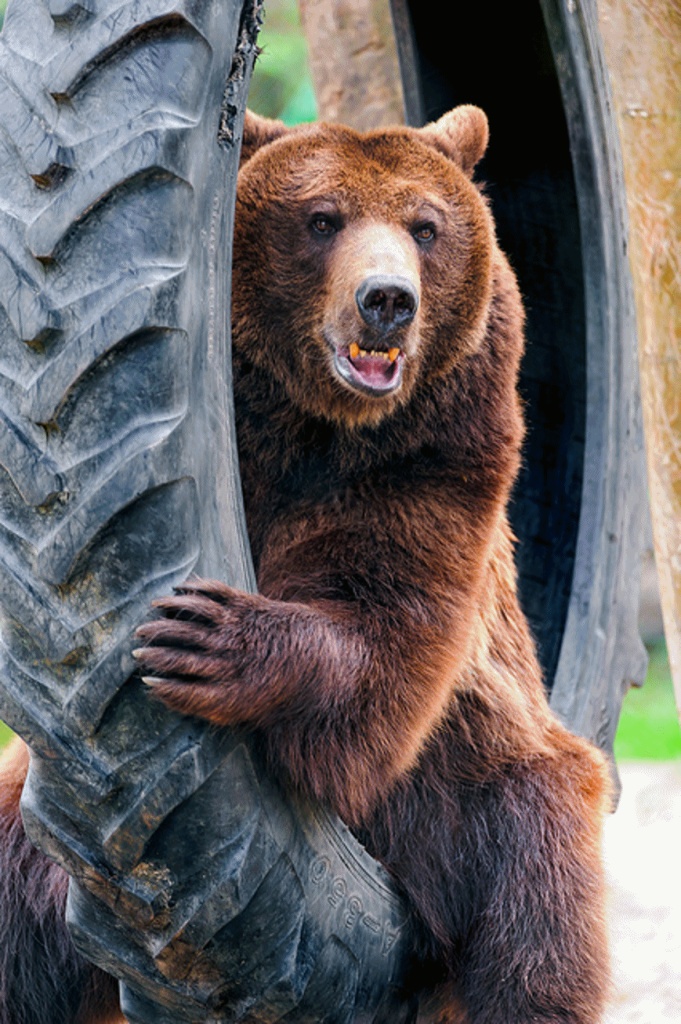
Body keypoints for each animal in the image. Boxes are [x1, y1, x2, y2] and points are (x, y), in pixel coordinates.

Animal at [0, 108, 610, 1019]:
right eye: (322, 219)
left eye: (424, 227)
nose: (386, 300)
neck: (310, 425)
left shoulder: (437, 457)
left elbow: (382, 637)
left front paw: (211, 638)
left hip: (494, 797)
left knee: (534, 940)